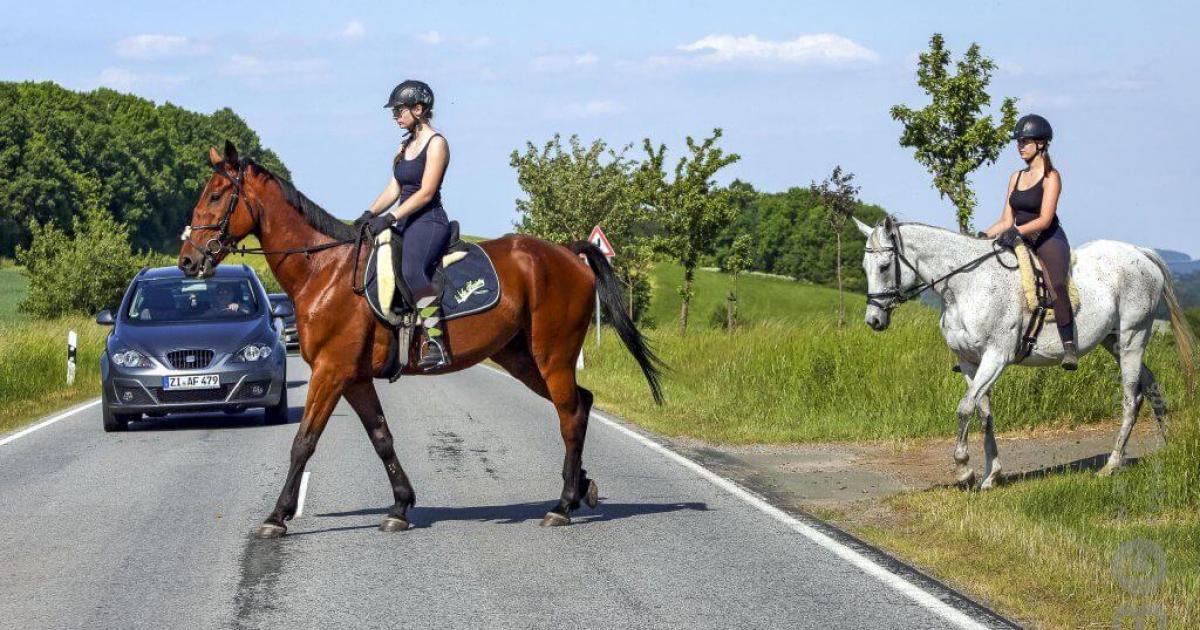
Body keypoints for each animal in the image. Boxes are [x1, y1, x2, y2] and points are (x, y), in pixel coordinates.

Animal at [178, 142, 667, 535]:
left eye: (216, 195)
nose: (187, 261)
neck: (324, 271)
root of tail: (568, 253)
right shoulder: (354, 378)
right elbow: (381, 437)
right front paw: (400, 506)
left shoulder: (331, 372)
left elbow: (303, 442)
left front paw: (276, 516)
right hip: (521, 358)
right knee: (581, 404)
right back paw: (582, 488)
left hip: (553, 355)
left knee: (569, 415)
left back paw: (562, 506)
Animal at [854, 214, 1200, 487]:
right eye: (864, 267)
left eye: (884, 266)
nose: (874, 320)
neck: (967, 286)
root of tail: (1140, 253)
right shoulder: (969, 362)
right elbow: (983, 412)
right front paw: (990, 476)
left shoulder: (995, 357)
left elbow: (965, 408)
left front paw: (964, 470)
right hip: (1113, 341)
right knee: (1150, 385)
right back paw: (1169, 445)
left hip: (1132, 337)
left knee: (1131, 398)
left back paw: (1111, 466)